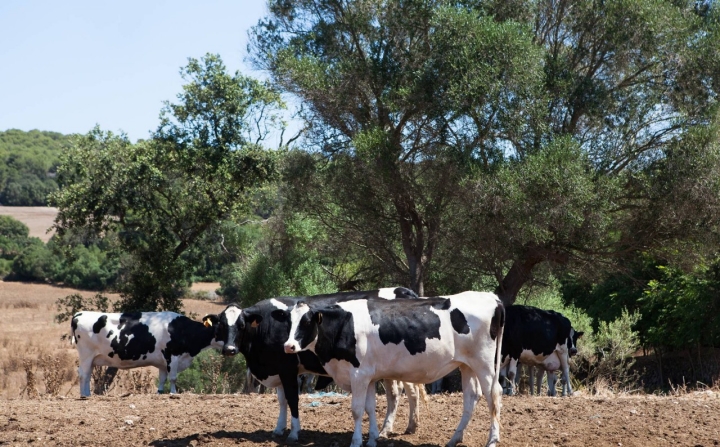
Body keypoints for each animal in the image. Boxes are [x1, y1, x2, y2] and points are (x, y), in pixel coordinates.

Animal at [71, 311, 221, 397]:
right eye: (223, 326)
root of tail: (79, 314)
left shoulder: (163, 362)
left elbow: (162, 379)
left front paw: (160, 393)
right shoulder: (172, 356)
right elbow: (173, 378)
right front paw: (173, 393)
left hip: (92, 358)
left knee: (87, 375)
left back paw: (88, 394)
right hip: (86, 354)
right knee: (83, 374)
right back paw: (84, 396)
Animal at [213, 287, 423, 443]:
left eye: (241, 325)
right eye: (222, 325)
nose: (229, 349)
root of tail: (403, 291)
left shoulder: (288, 369)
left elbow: (292, 399)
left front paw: (293, 433)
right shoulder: (279, 370)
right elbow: (281, 400)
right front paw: (279, 428)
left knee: (397, 394)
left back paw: (387, 429)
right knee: (410, 392)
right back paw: (411, 426)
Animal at [283, 291, 505, 447]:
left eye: (307, 321)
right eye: (289, 322)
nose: (288, 346)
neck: (344, 324)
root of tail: (492, 297)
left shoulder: (358, 375)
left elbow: (357, 410)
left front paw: (356, 441)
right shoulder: (369, 376)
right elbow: (370, 408)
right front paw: (373, 438)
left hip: (484, 363)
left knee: (493, 395)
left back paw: (492, 440)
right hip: (466, 365)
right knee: (471, 397)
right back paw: (454, 439)